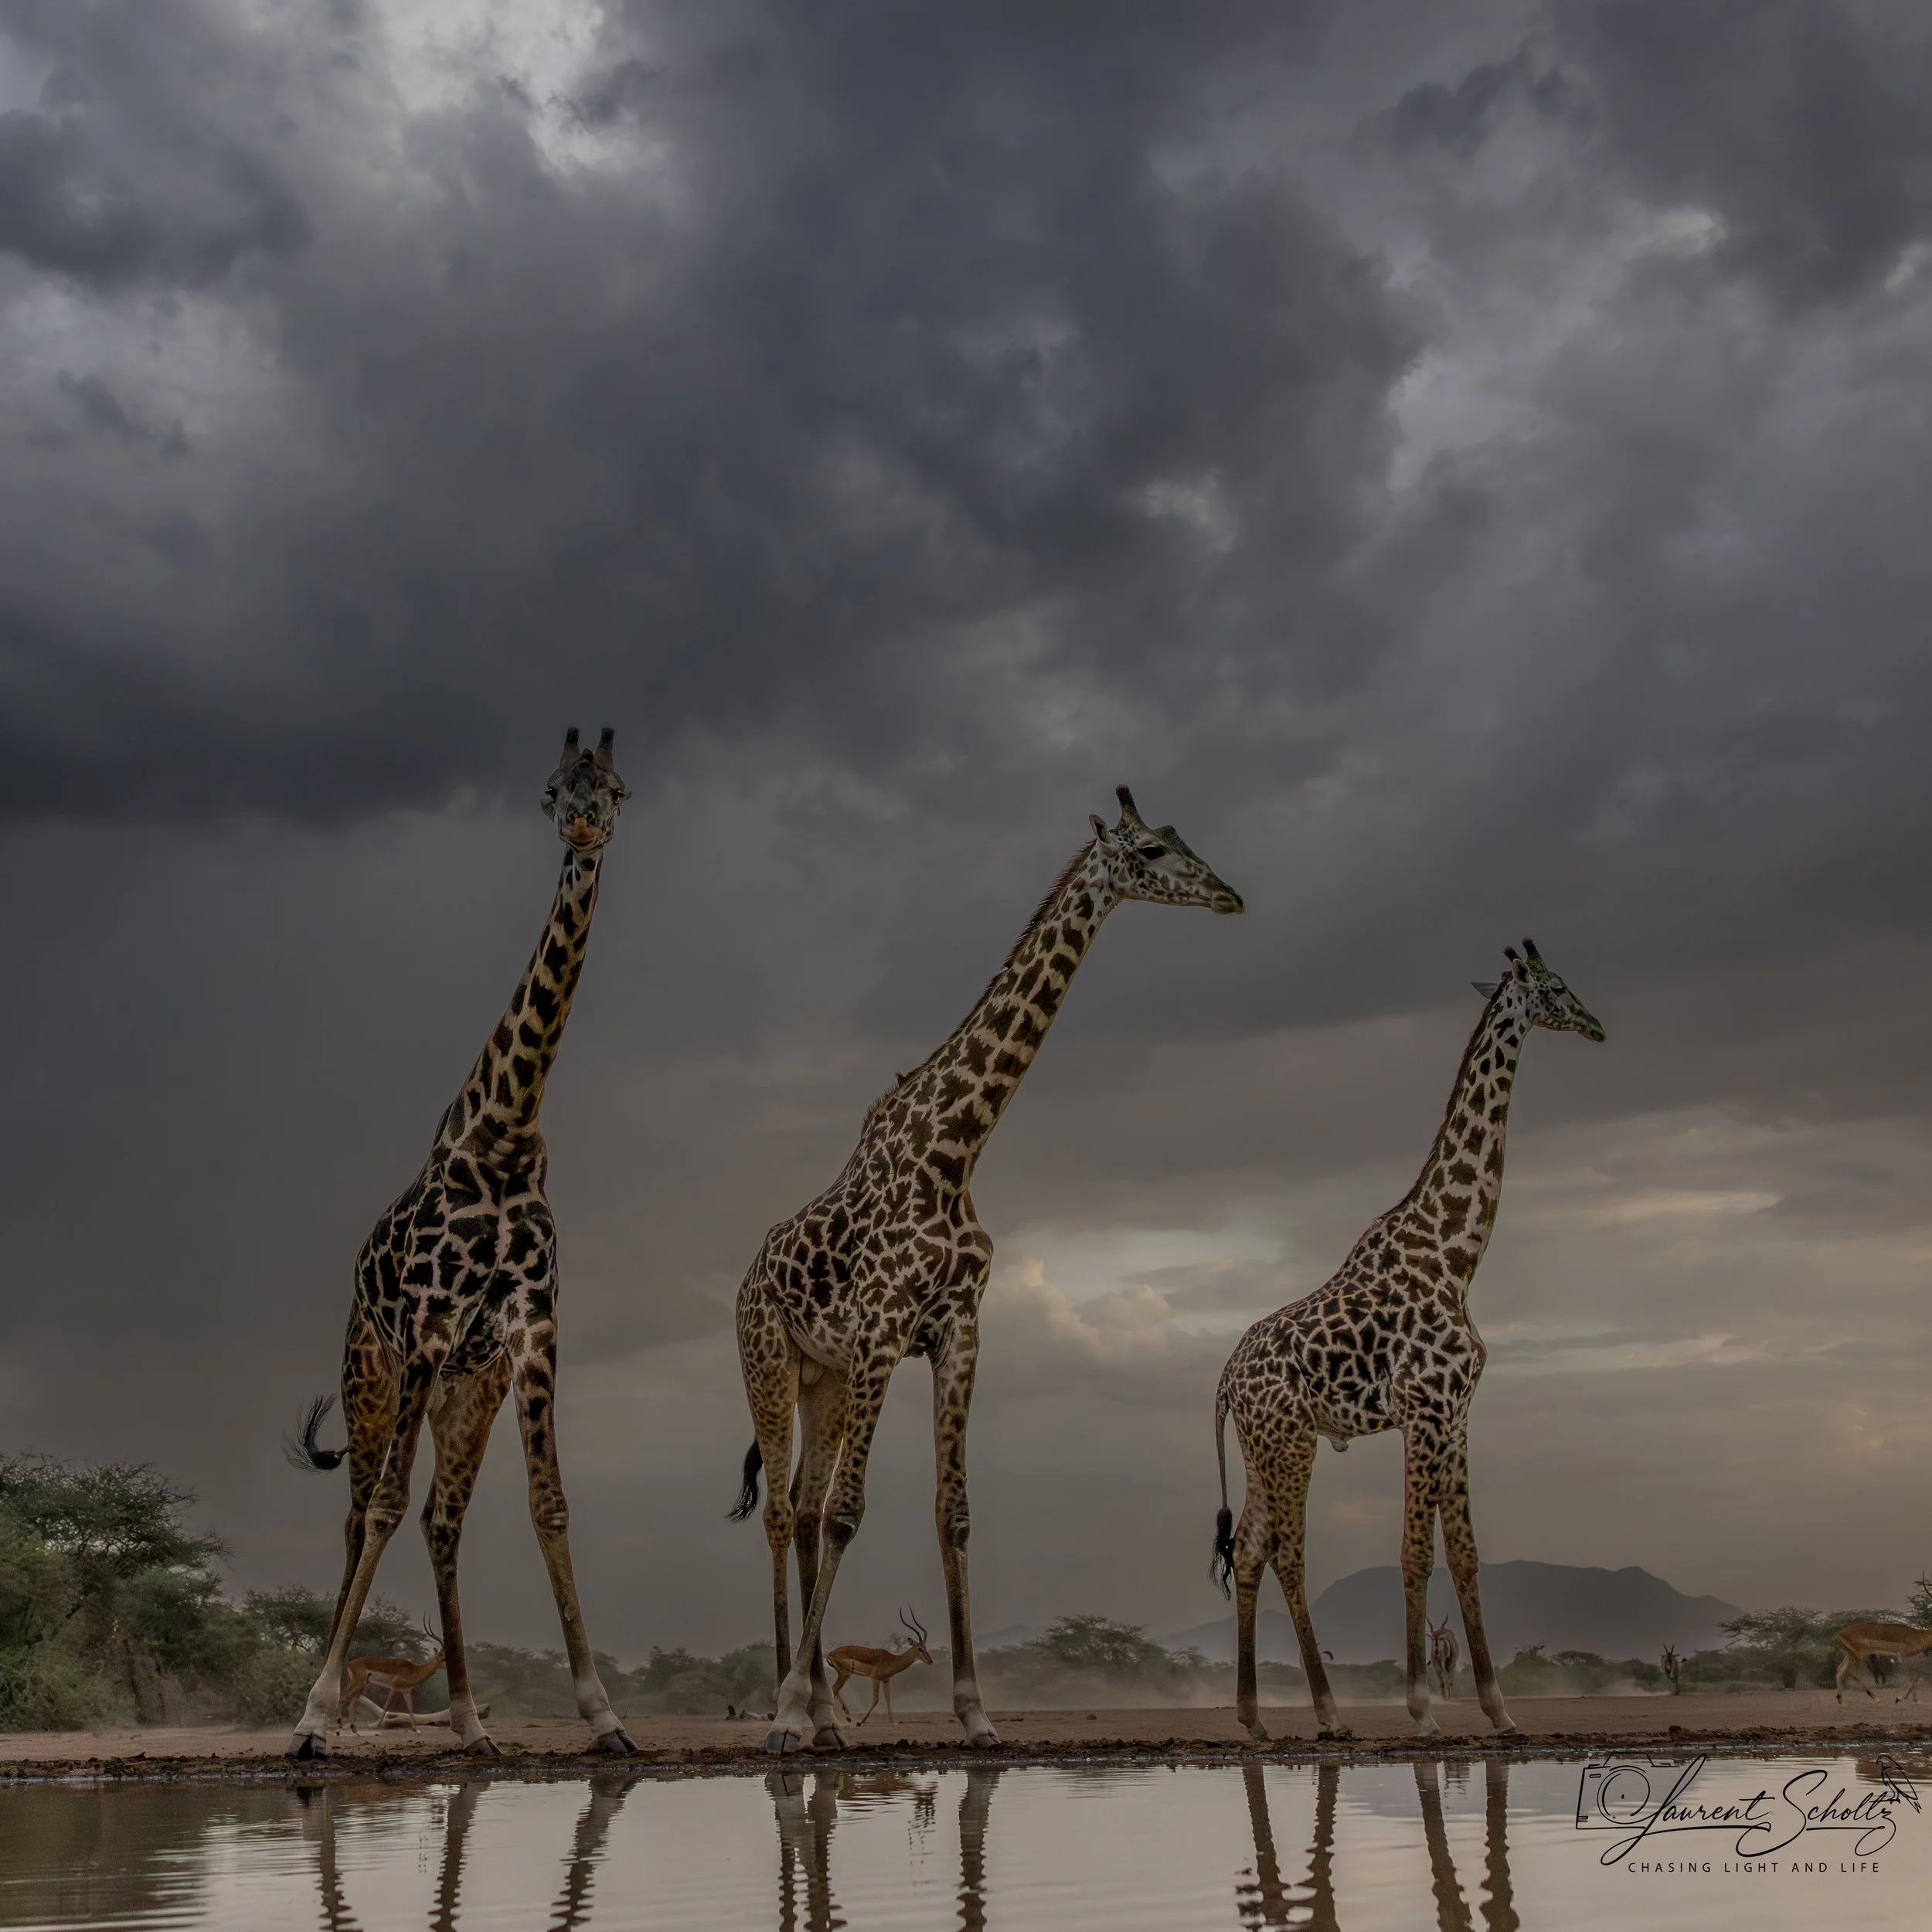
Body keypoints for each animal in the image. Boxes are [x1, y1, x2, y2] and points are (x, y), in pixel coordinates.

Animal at [283, 727, 637, 1760]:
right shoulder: (434, 1319)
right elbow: (385, 1507)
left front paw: (603, 1713)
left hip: (465, 1393)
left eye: (617, 789)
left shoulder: (530, 1321)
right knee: (365, 1508)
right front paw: (313, 1717)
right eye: (552, 787)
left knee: (443, 1519)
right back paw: (324, 1712)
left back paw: (474, 1723)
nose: (583, 826)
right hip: (376, 1374)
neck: (506, 1134)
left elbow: (549, 1501)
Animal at [731, 787, 1243, 1754]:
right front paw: (781, 1711)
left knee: (806, 1504)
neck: (956, 1148)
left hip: (825, 1376)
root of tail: (744, 1279)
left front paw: (976, 1713)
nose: (1230, 895)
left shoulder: (957, 1327)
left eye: (1182, 838)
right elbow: (853, 1511)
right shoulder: (885, 1327)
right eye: (1151, 851)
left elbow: (952, 1512)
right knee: (784, 1511)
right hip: (769, 1360)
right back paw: (786, 1707)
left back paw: (823, 1715)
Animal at [1212, 939, 1604, 1741]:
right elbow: (1416, 1554)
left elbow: (1467, 1554)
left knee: (1251, 1548)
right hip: (1290, 1443)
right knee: (1288, 1554)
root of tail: (1226, 1380)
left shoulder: (1456, 1414)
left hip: (1264, 1445)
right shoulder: (1423, 1410)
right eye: (1555, 987)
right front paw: (1422, 1711)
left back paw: (1255, 1718)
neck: (1456, 1254)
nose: (1596, 1025)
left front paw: (1500, 1710)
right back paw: (1329, 1712)